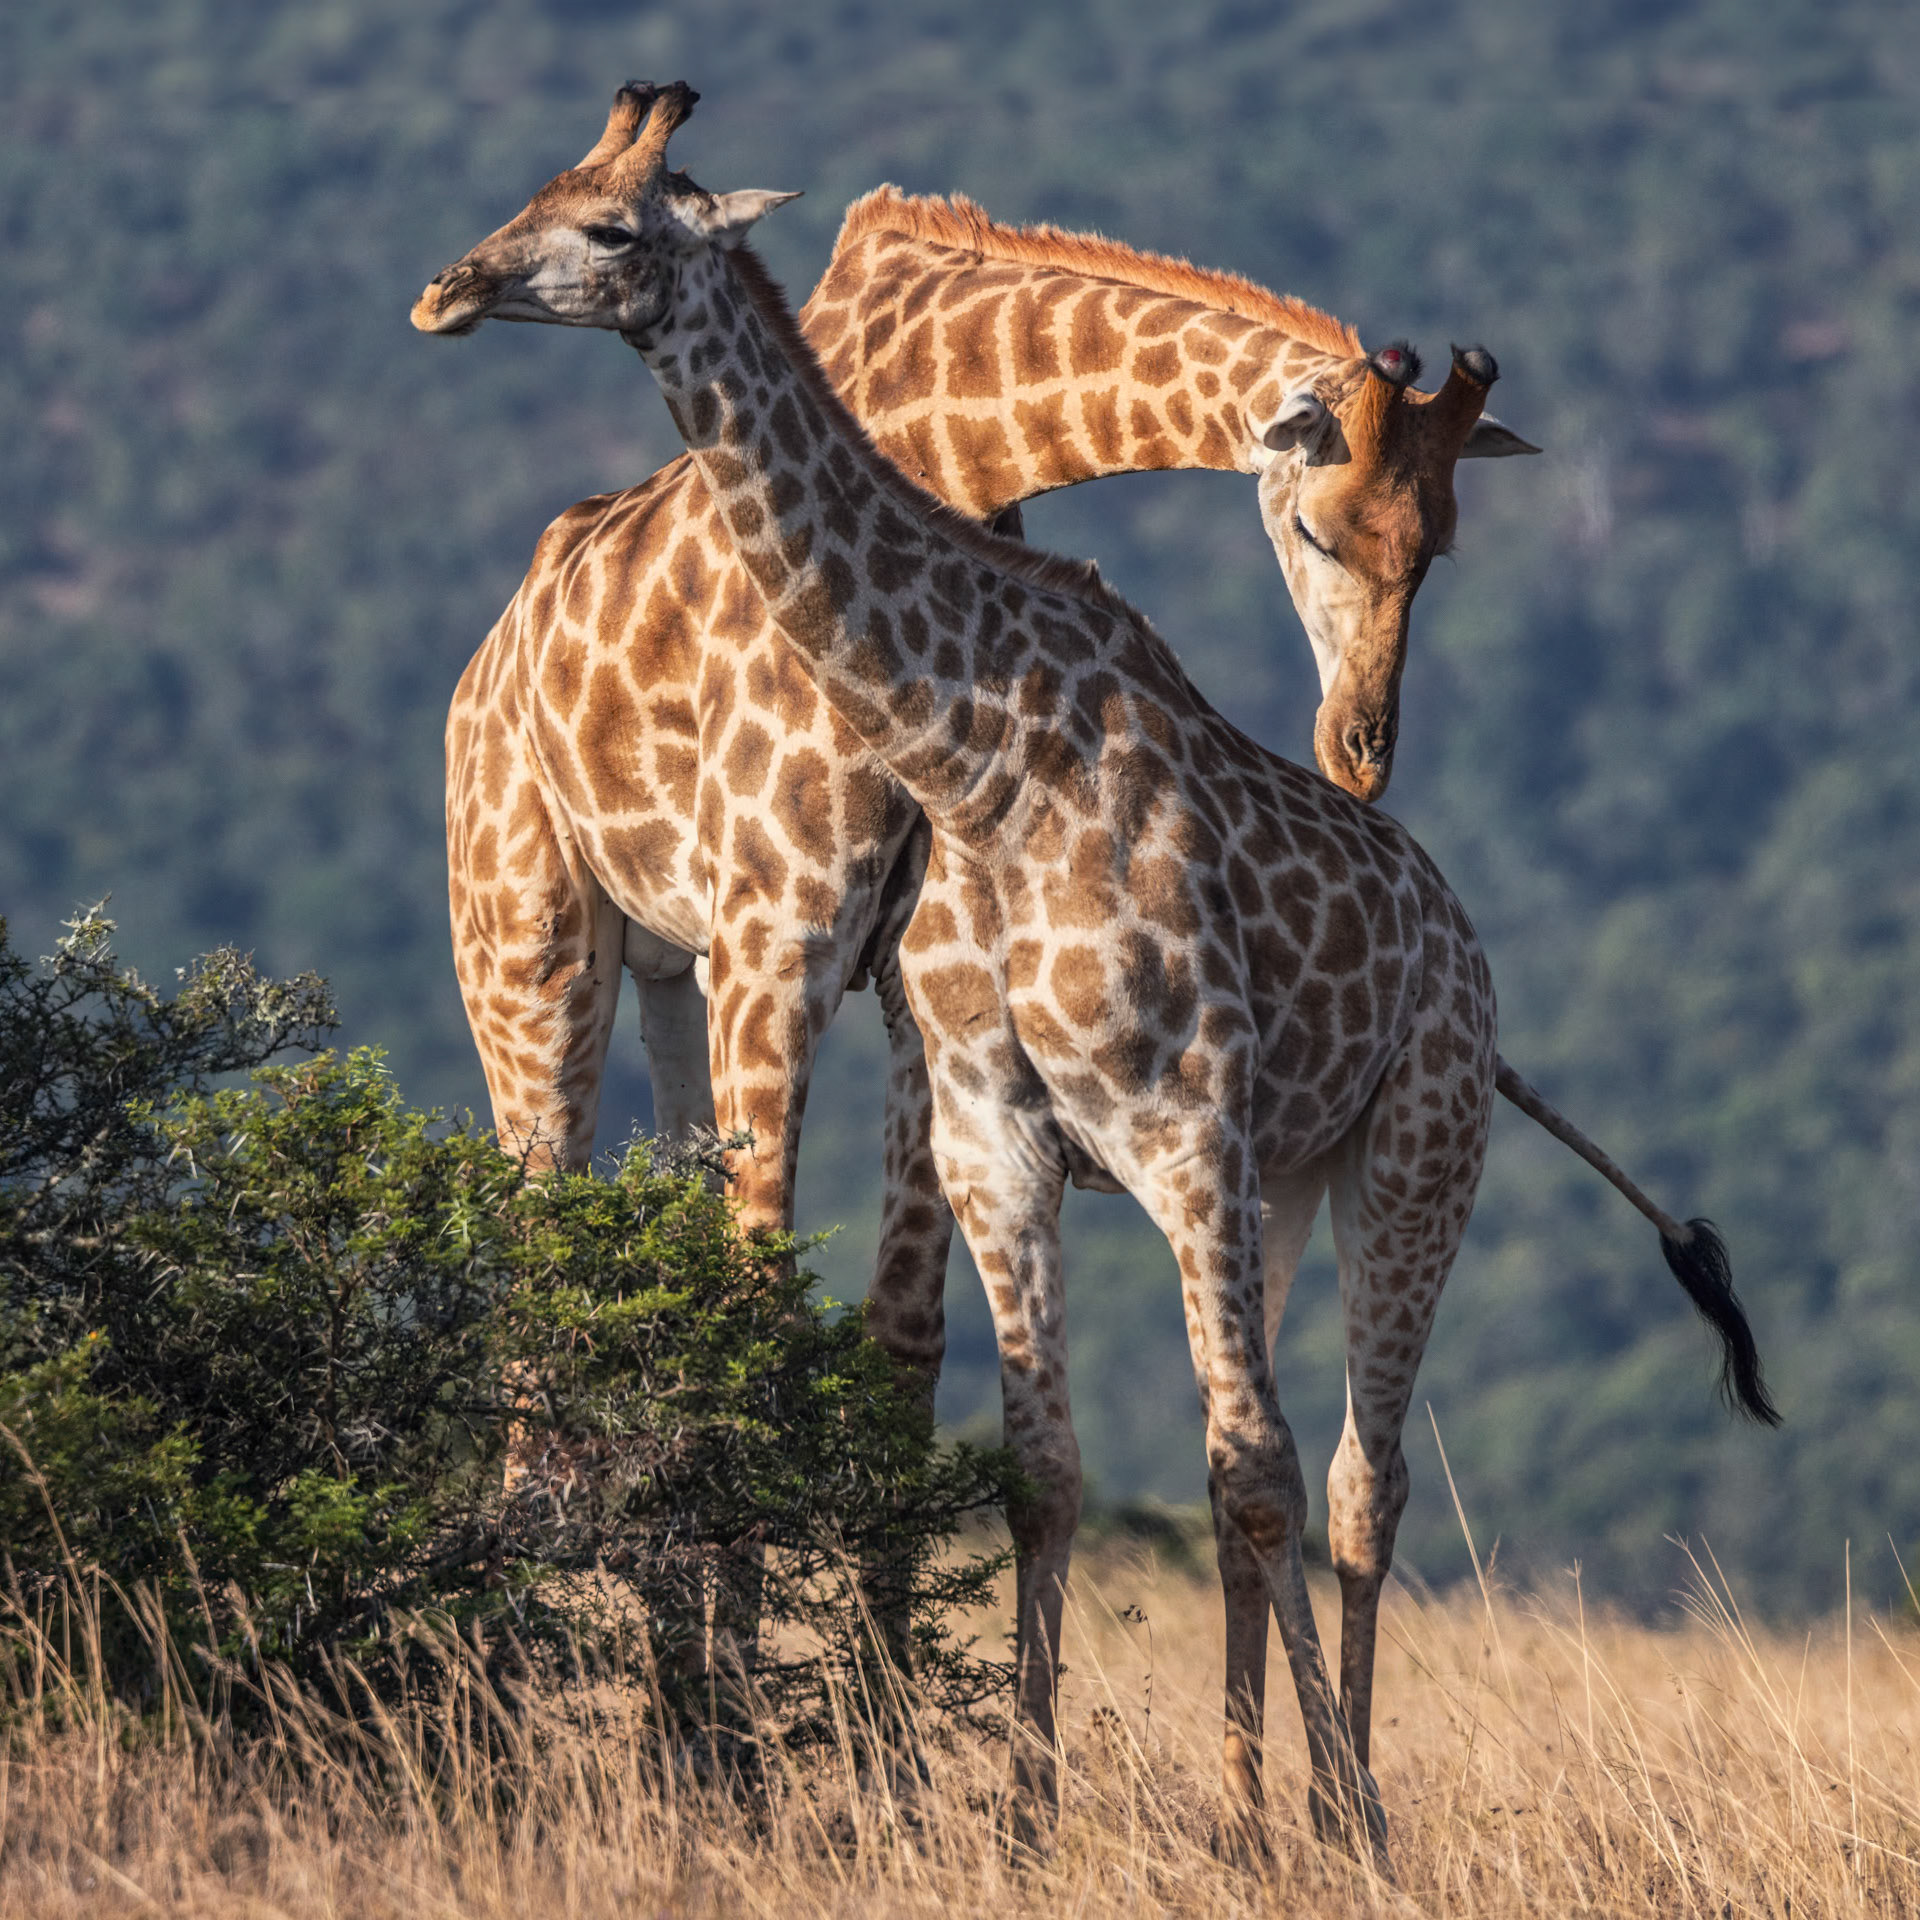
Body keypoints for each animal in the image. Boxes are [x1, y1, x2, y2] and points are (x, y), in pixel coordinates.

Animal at [431, 126, 1540, 1441]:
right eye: (1316, 531)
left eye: (1438, 550)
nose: (1360, 753)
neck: (963, 440)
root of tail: (480, 675)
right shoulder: (781, 926)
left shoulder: (918, 968)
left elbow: (904, 1328)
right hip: (529, 946)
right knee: (533, 1283)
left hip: (666, 972)